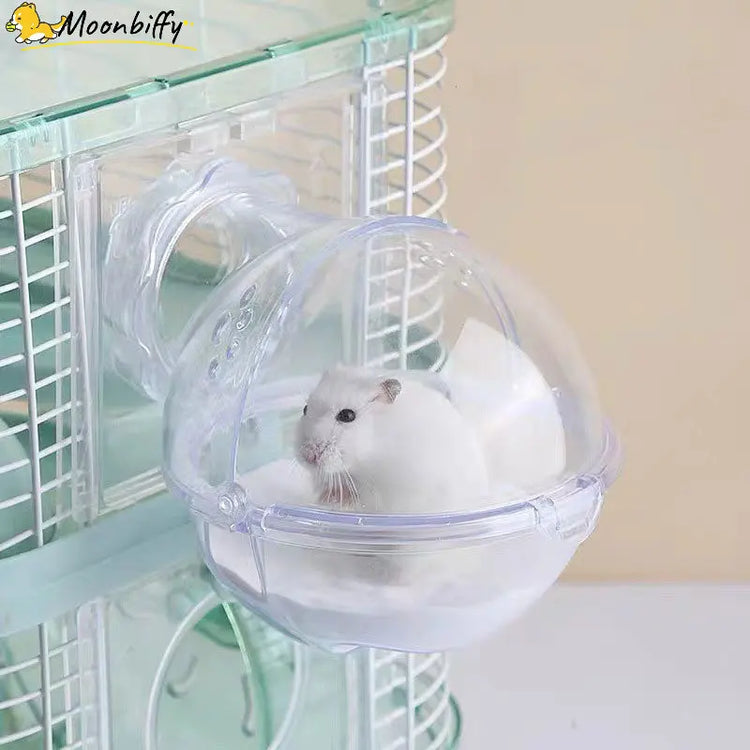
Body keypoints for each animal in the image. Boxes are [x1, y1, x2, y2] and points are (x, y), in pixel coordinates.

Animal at [295, 365, 489, 514]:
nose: (307, 456)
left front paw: (339, 498)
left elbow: (364, 498)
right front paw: (326, 497)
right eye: (305, 409)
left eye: (347, 415)